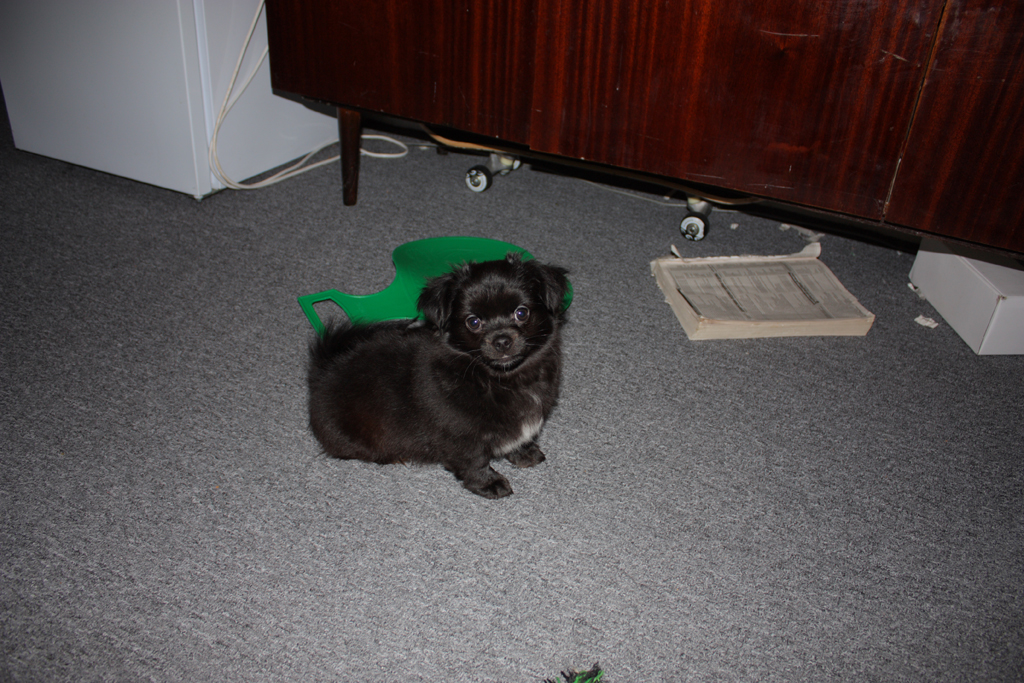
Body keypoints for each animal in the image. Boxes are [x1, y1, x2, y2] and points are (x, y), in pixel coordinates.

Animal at [307, 252, 569, 498]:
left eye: (521, 313)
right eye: (473, 322)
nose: (502, 340)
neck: (501, 378)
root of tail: (324, 368)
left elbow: (518, 440)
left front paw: (523, 453)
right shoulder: (460, 433)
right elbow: (474, 461)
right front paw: (489, 483)